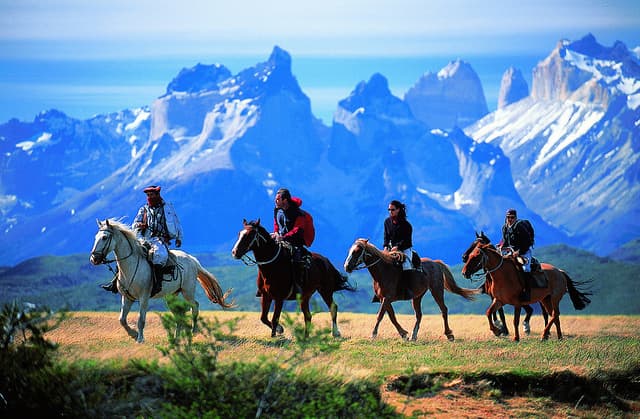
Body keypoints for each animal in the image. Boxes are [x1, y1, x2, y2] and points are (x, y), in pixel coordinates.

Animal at [87, 218, 232, 342]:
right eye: (95, 237)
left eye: (104, 237)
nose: (94, 259)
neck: (131, 267)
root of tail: (192, 260)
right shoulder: (127, 298)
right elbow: (122, 319)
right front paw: (133, 333)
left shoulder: (144, 297)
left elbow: (141, 319)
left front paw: (140, 339)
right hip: (171, 295)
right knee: (178, 313)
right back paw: (176, 337)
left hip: (188, 292)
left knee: (195, 306)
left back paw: (193, 332)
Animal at [342, 240, 478, 342]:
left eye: (357, 251)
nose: (346, 266)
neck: (383, 271)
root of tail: (436, 264)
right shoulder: (384, 299)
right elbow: (391, 316)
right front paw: (404, 334)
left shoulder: (387, 298)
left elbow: (380, 315)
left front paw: (373, 334)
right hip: (417, 297)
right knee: (419, 314)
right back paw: (414, 335)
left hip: (436, 290)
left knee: (443, 309)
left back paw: (449, 334)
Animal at [460, 241, 592, 342]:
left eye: (476, 256)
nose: (464, 272)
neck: (503, 275)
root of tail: (560, 272)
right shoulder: (499, 300)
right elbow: (489, 312)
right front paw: (497, 331)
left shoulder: (517, 303)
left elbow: (515, 320)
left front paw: (516, 338)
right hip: (546, 299)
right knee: (554, 316)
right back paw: (558, 337)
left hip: (555, 298)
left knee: (555, 314)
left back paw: (544, 335)